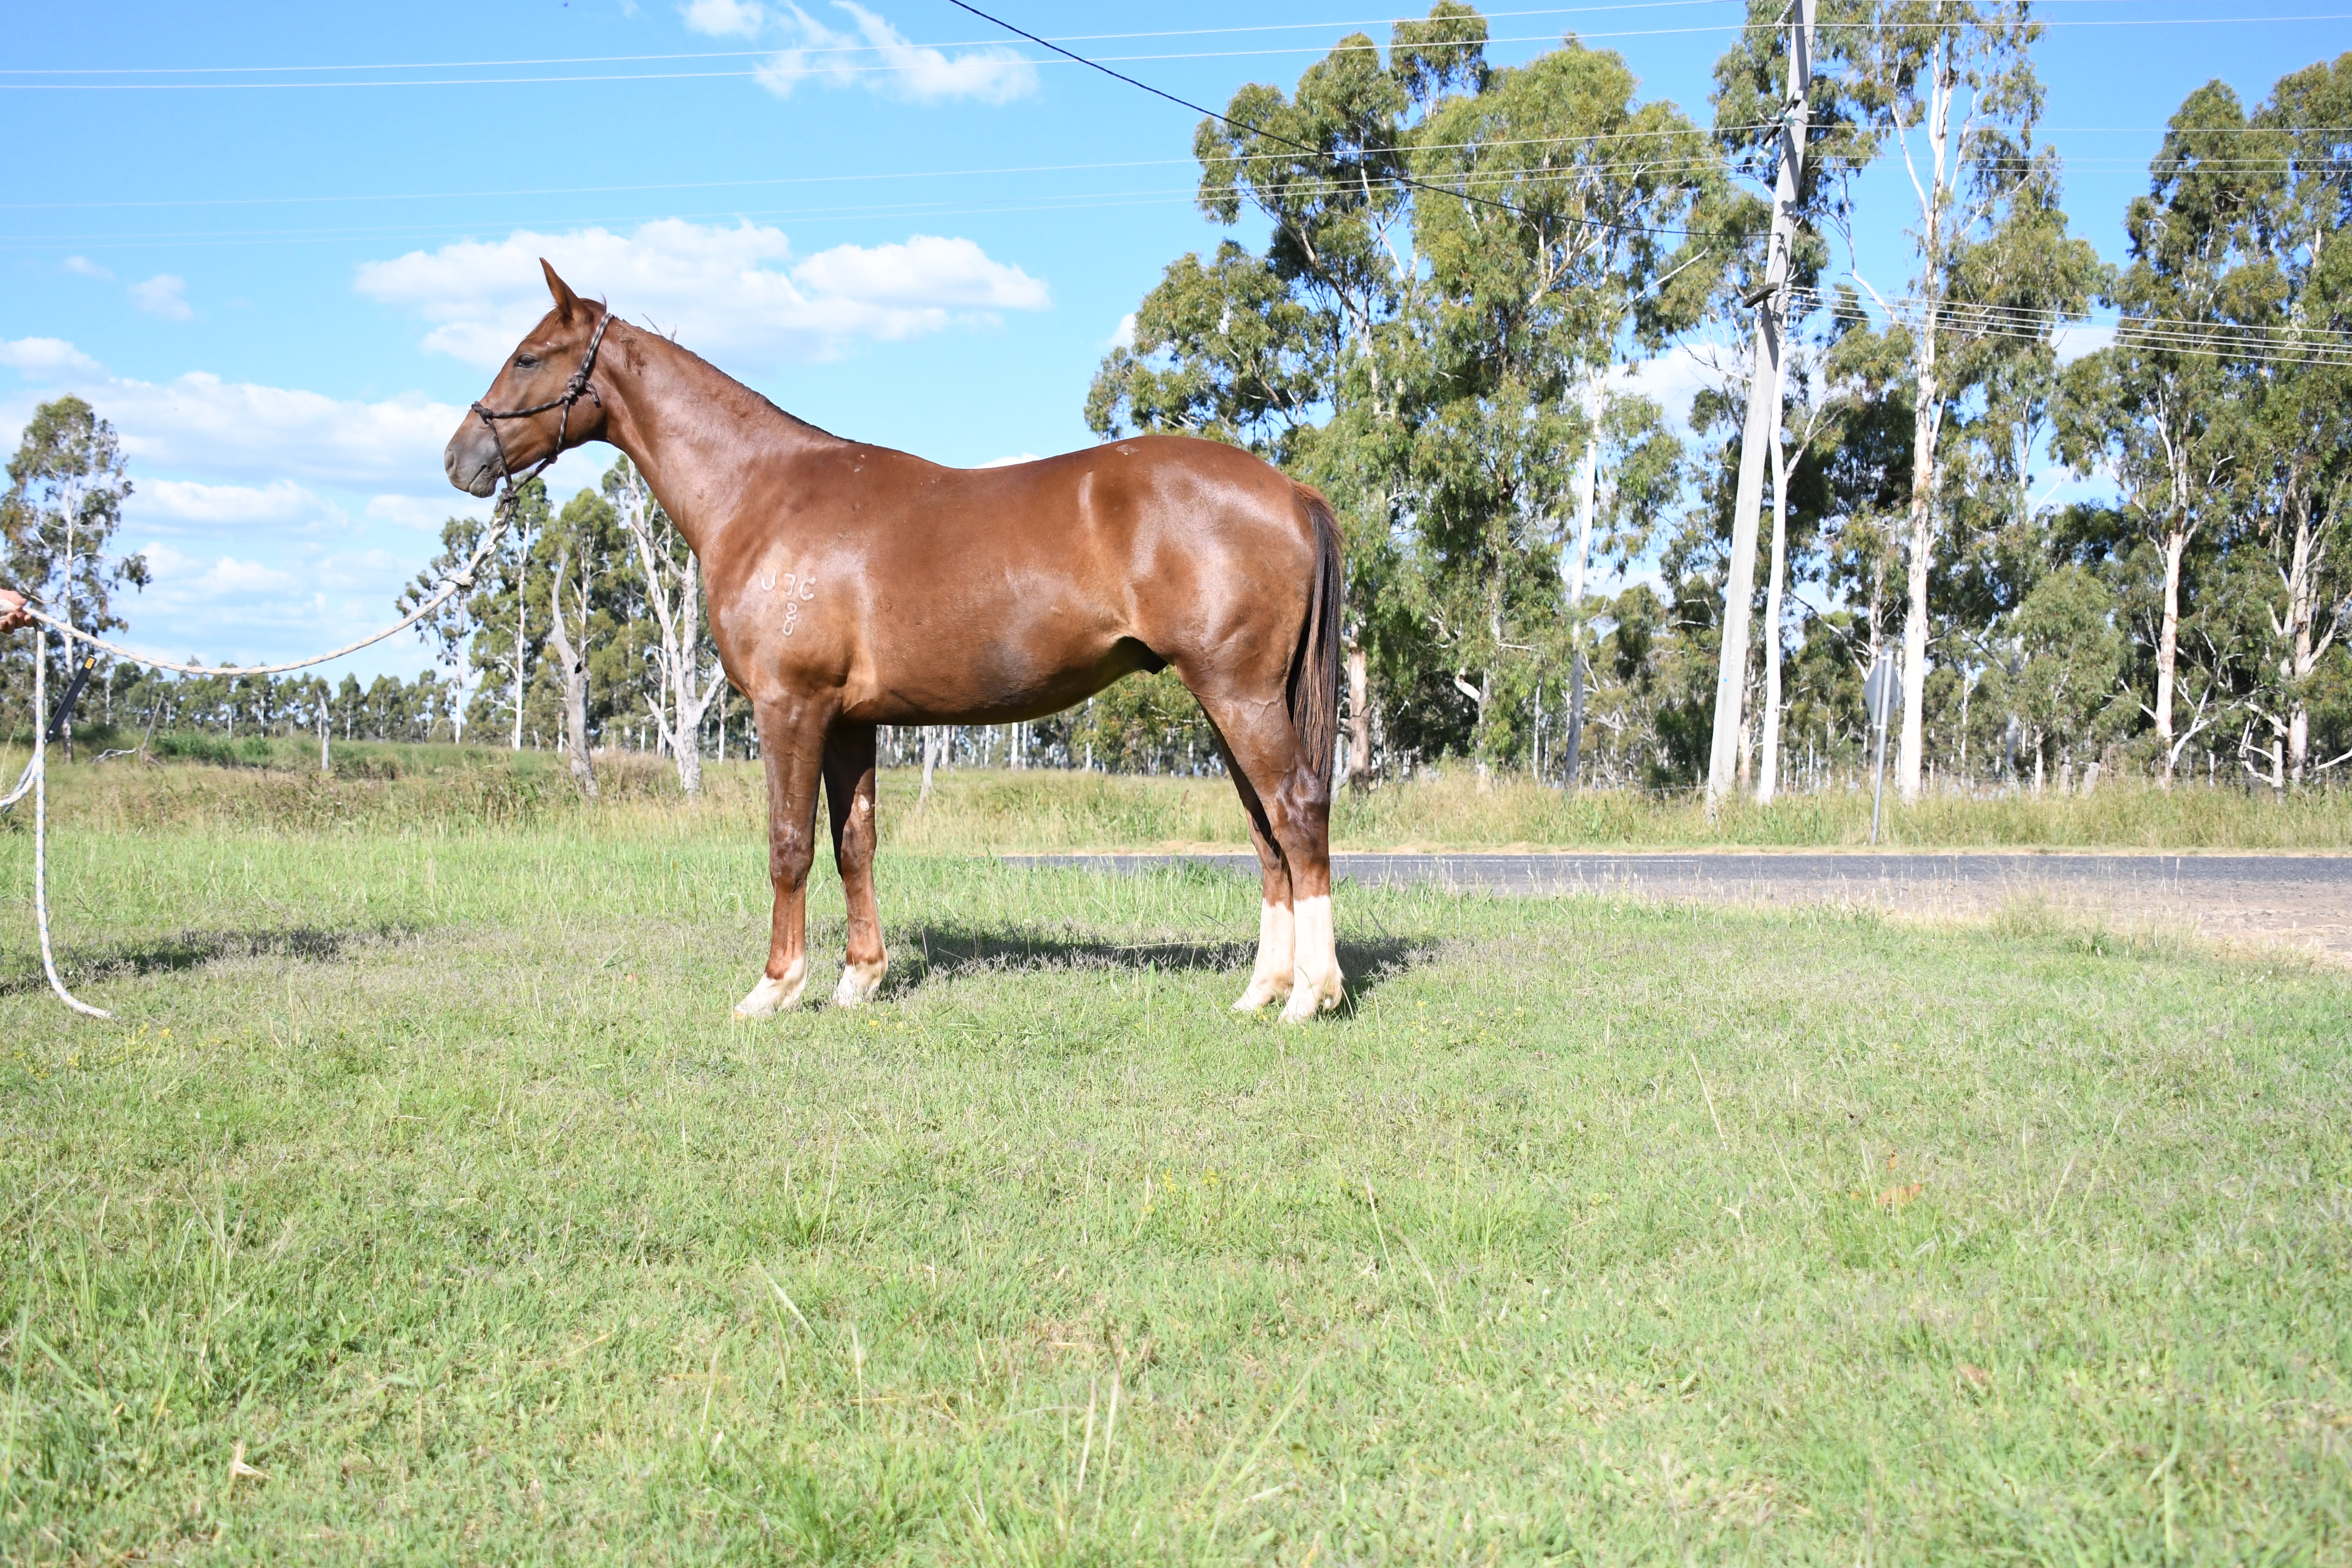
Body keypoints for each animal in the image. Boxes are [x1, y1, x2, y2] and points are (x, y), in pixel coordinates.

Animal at [444, 262, 1345, 1022]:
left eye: (528, 357)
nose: (459, 458)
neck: (763, 494)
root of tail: (1289, 489)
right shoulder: (850, 719)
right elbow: (855, 844)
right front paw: (858, 980)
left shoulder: (790, 707)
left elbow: (789, 845)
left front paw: (774, 988)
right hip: (1227, 700)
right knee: (1264, 831)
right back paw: (1261, 991)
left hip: (1238, 694)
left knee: (1296, 812)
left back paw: (1311, 994)